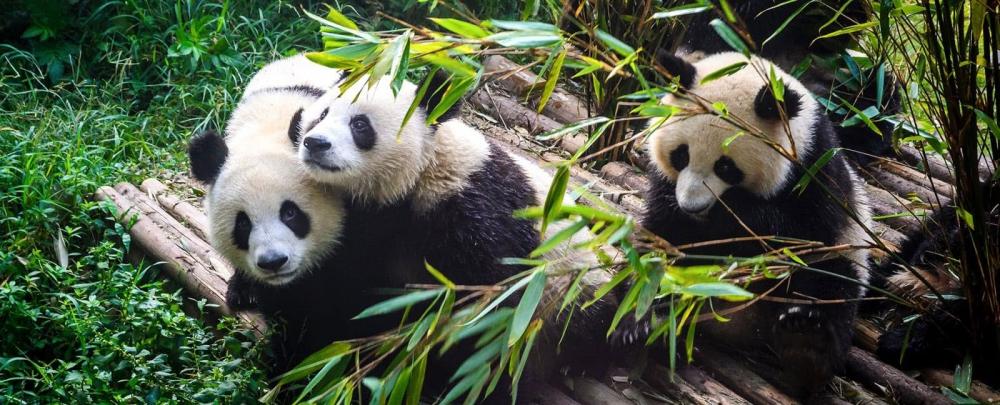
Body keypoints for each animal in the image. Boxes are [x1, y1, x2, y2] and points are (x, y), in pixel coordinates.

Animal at [289, 70, 616, 396]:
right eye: (322, 114)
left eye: (360, 125)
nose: (315, 143)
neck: (422, 174)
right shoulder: (368, 227)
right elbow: (349, 292)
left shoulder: (478, 212)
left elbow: (491, 309)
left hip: (572, 282)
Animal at [627, 52, 874, 398]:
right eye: (680, 155)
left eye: (725, 167)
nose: (693, 206)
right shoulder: (665, 189)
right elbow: (662, 237)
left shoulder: (817, 173)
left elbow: (797, 233)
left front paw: (733, 214)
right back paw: (646, 326)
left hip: (844, 258)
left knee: (831, 285)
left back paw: (805, 346)